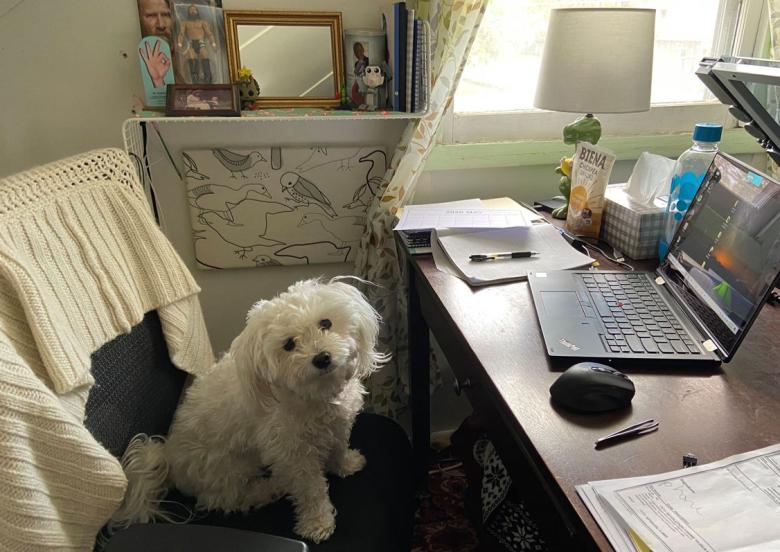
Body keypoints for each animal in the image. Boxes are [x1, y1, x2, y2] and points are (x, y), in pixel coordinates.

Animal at [112, 278, 386, 540]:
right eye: (289, 345)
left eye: (326, 323)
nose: (322, 358)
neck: (315, 394)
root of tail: (167, 454)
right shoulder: (292, 456)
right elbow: (311, 490)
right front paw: (317, 523)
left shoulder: (338, 426)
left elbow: (338, 448)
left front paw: (345, 464)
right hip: (226, 467)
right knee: (224, 498)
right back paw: (268, 489)